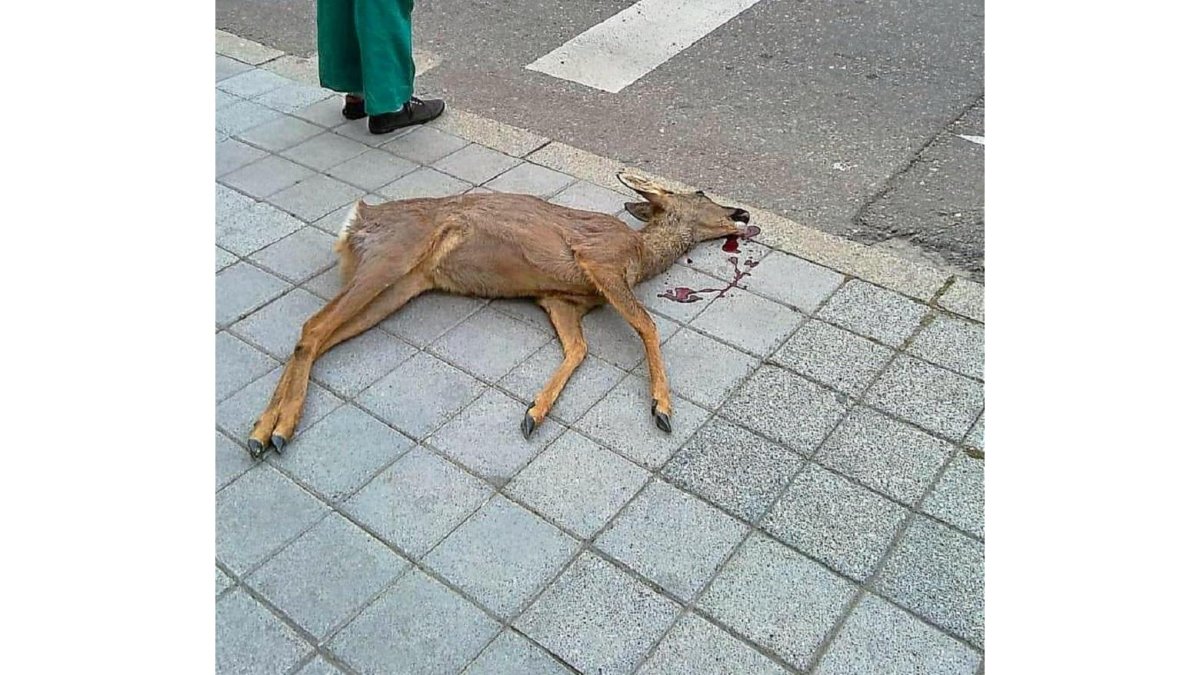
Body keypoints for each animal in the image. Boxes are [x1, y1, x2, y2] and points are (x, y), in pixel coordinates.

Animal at [243, 170, 748, 454]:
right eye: (702, 192)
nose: (742, 213)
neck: (640, 255)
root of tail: (356, 221)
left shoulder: (560, 300)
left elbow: (578, 349)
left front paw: (534, 413)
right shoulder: (598, 258)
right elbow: (646, 323)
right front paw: (662, 408)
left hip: (399, 287)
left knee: (316, 336)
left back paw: (264, 432)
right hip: (392, 255)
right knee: (312, 326)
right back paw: (277, 429)